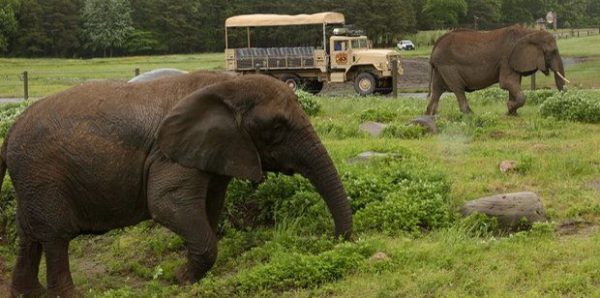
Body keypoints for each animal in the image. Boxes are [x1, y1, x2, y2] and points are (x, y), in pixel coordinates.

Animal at [2, 71, 352, 296]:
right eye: (277, 127)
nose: (334, 241)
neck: (227, 83)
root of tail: (10, 131)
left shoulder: (215, 150)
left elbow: (210, 207)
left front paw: (186, 275)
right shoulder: (169, 154)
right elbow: (166, 204)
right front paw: (180, 279)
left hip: (31, 180)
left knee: (29, 234)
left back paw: (28, 293)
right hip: (43, 175)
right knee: (55, 236)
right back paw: (66, 294)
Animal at [424, 25, 568, 116]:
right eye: (552, 52)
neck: (529, 32)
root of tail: (435, 46)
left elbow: (514, 84)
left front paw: (512, 113)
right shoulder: (507, 58)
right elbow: (507, 83)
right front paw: (509, 108)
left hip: (441, 67)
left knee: (437, 90)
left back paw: (429, 115)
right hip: (448, 66)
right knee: (458, 88)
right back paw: (471, 115)